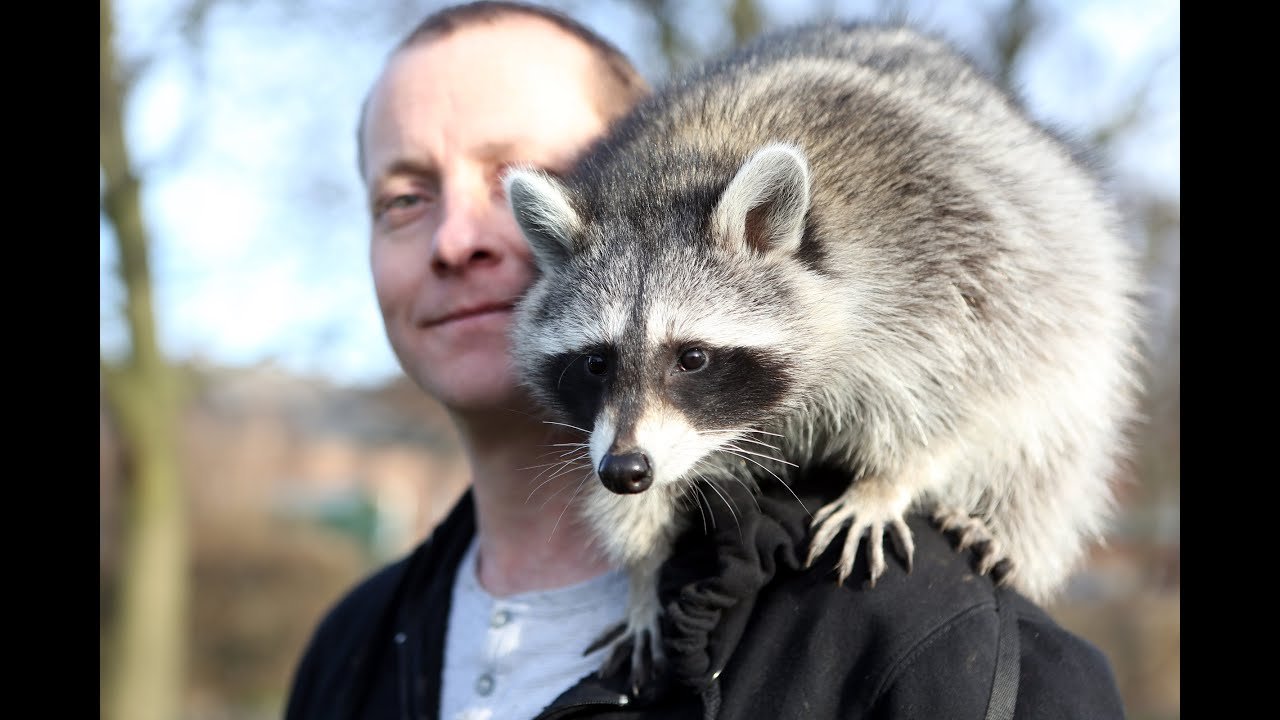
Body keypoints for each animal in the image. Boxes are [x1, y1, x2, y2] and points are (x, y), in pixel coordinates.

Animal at [496, 20, 1141, 681]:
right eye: (596, 362)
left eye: (691, 358)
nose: (625, 471)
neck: (673, 168)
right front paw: (642, 571)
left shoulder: (945, 257)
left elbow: (963, 388)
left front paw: (889, 479)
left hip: (1066, 282)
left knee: (1049, 442)